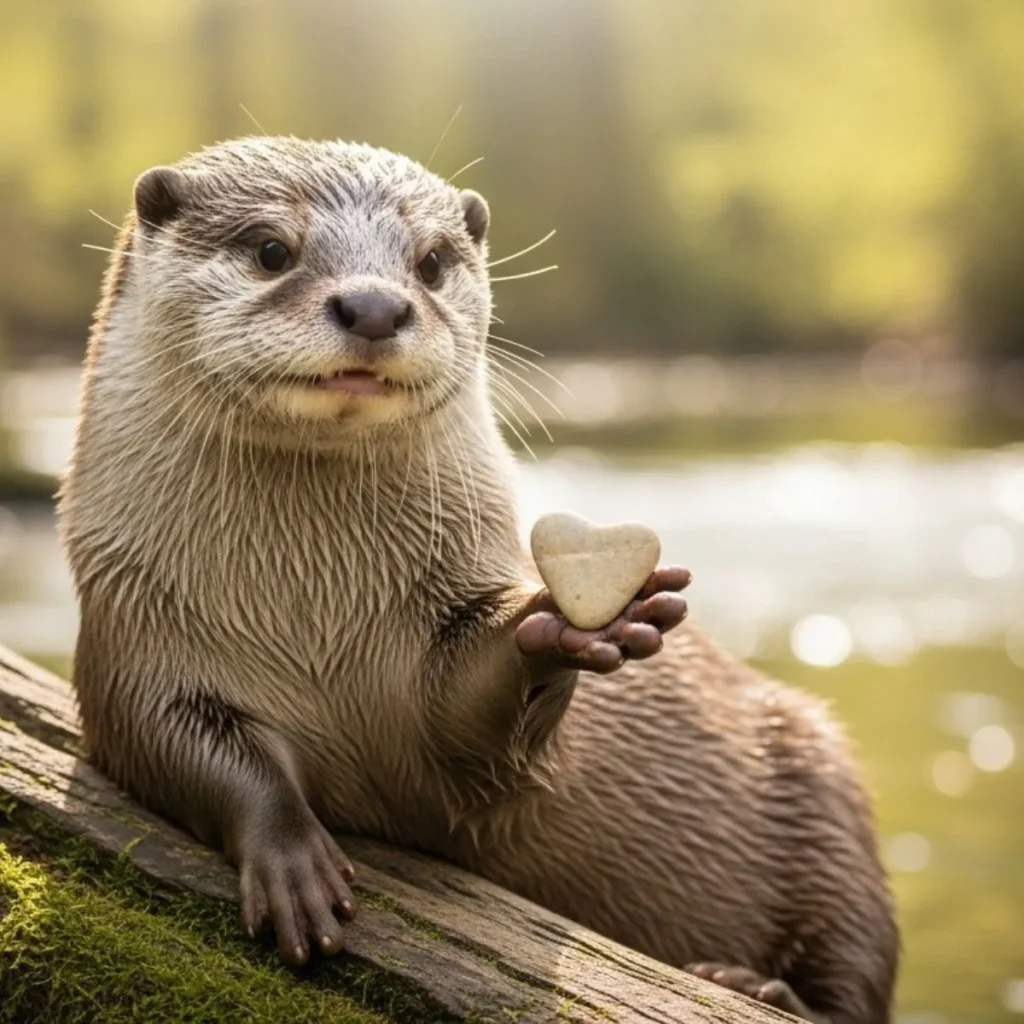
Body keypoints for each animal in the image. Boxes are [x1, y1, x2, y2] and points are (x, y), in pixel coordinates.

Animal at [58, 137, 898, 1023]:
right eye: (270, 249)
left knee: (856, 972)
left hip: (827, 795)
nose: (375, 306)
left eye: (429, 262)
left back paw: (753, 982)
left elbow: (473, 732)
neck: (315, 619)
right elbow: (177, 750)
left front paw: (559, 628)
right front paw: (293, 867)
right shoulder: (134, 633)